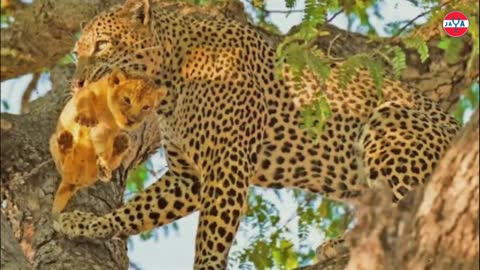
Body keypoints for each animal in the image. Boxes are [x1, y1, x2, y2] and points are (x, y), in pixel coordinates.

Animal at [54, 1, 460, 268]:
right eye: (78, 51)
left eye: (102, 45)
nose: (77, 83)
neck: (167, 83)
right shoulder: (189, 177)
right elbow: (137, 211)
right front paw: (85, 224)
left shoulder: (226, 167)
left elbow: (210, 241)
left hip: (390, 120)